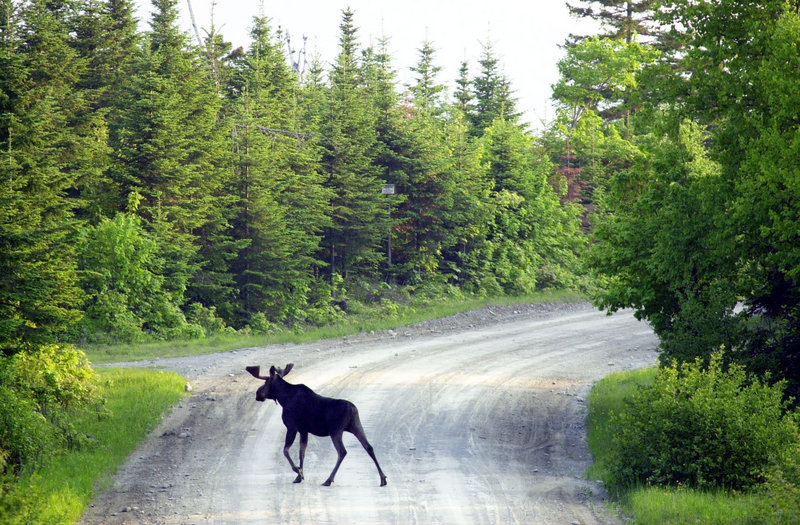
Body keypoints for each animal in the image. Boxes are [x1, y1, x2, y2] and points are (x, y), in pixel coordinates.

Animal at [247, 362, 390, 486]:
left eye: (265, 382)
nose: (257, 394)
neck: (284, 398)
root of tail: (353, 409)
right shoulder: (304, 430)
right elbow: (301, 452)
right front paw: (299, 476)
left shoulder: (292, 427)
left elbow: (286, 451)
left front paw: (298, 471)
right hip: (355, 425)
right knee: (369, 447)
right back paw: (383, 478)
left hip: (336, 430)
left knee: (342, 451)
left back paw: (328, 479)